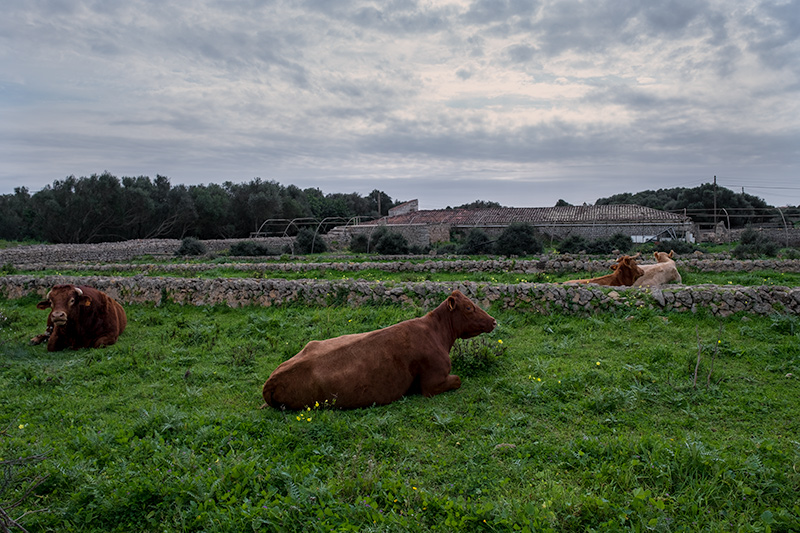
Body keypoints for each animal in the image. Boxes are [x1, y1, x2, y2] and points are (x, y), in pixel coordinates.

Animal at [262, 288, 496, 410]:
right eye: (469, 307)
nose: (493, 320)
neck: (437, 333)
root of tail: (271, 380)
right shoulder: (432, 383)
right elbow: (458, 380)